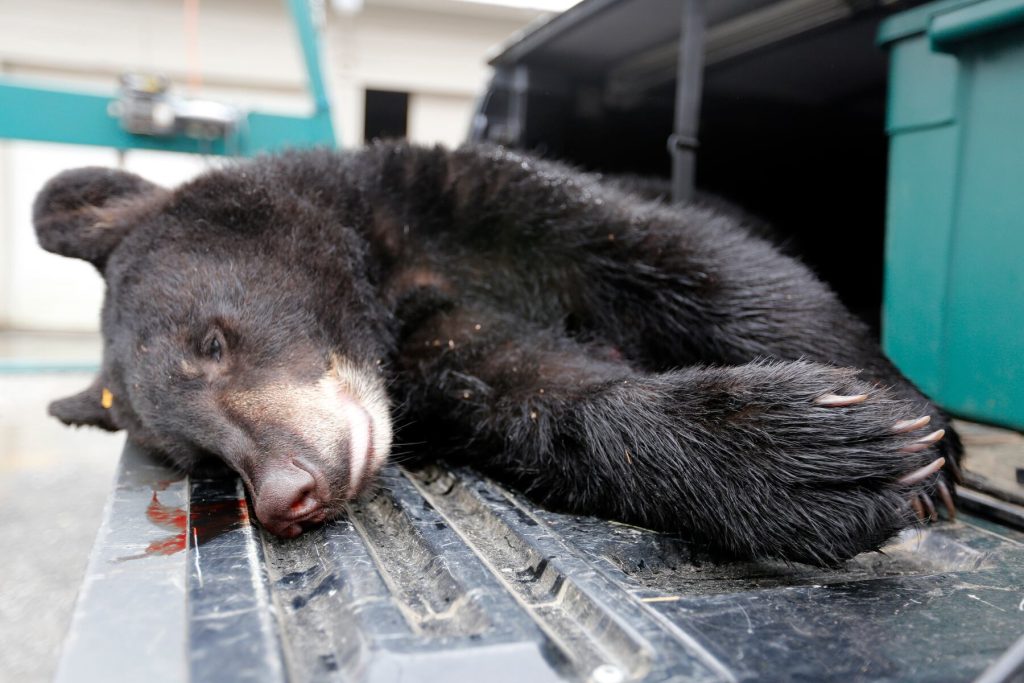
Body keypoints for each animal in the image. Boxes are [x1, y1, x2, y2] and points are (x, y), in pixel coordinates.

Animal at [34, 141, 961, 566]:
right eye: (204, 462)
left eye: (212, 341)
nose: (286, 494)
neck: (386, 280)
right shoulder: (435, 355)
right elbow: (534, 391)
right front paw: (803, 460)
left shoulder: (474, 204)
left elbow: (693, 261)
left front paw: (925, 445)